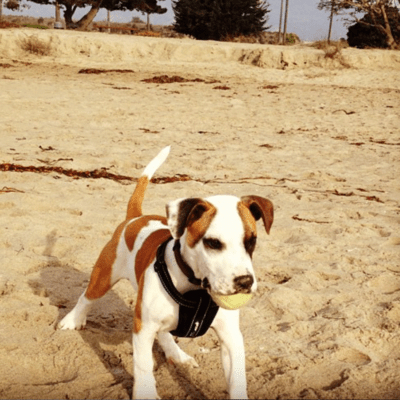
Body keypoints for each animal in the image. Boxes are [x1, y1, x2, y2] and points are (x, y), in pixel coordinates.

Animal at [58, 147, 272, 400]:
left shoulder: (230, 337)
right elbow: (143, 369)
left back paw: (176, 353)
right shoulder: (142, 328)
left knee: (164, 333)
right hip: (105, 275)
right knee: (87, 297)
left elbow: (237, 380)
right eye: (212, 243)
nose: (245, 282)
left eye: (251, 241)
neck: (195, 288)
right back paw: (72, 320)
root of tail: (135, 218)